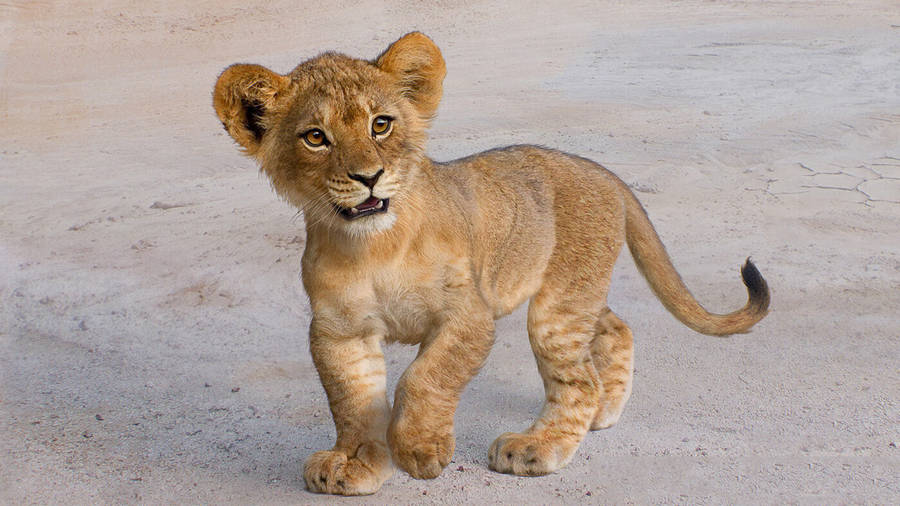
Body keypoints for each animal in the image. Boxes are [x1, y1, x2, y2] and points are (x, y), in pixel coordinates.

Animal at [212, 32, 769, 495]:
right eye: (315, 137)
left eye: (380, 125)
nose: (368, 177)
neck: (372, 246)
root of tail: (600, 171)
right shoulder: (338, 330)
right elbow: (352, 402)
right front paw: (357, 464)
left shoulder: (469, 314)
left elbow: (425, 377)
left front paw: (420, 451)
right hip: (574, 293)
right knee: (615, 326)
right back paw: (605, 411)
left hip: (557, 307)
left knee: (578, 380)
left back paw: (538, 447)